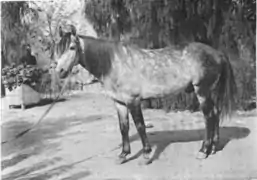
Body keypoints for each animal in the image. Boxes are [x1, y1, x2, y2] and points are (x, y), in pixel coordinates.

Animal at [54, 25, 236, 165]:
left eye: (72, 47)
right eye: (58, 49)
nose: (59, 72)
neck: (114, 63)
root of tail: (217, 54)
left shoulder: (133, 100)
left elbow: (140, 126)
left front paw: (147, 154)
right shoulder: (119, 103)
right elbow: (124, 127)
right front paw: (123, 155)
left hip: (202, 91)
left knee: (208, 117)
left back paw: (203, 150)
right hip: (211, 91)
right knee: (215, 114)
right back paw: (213, 147)